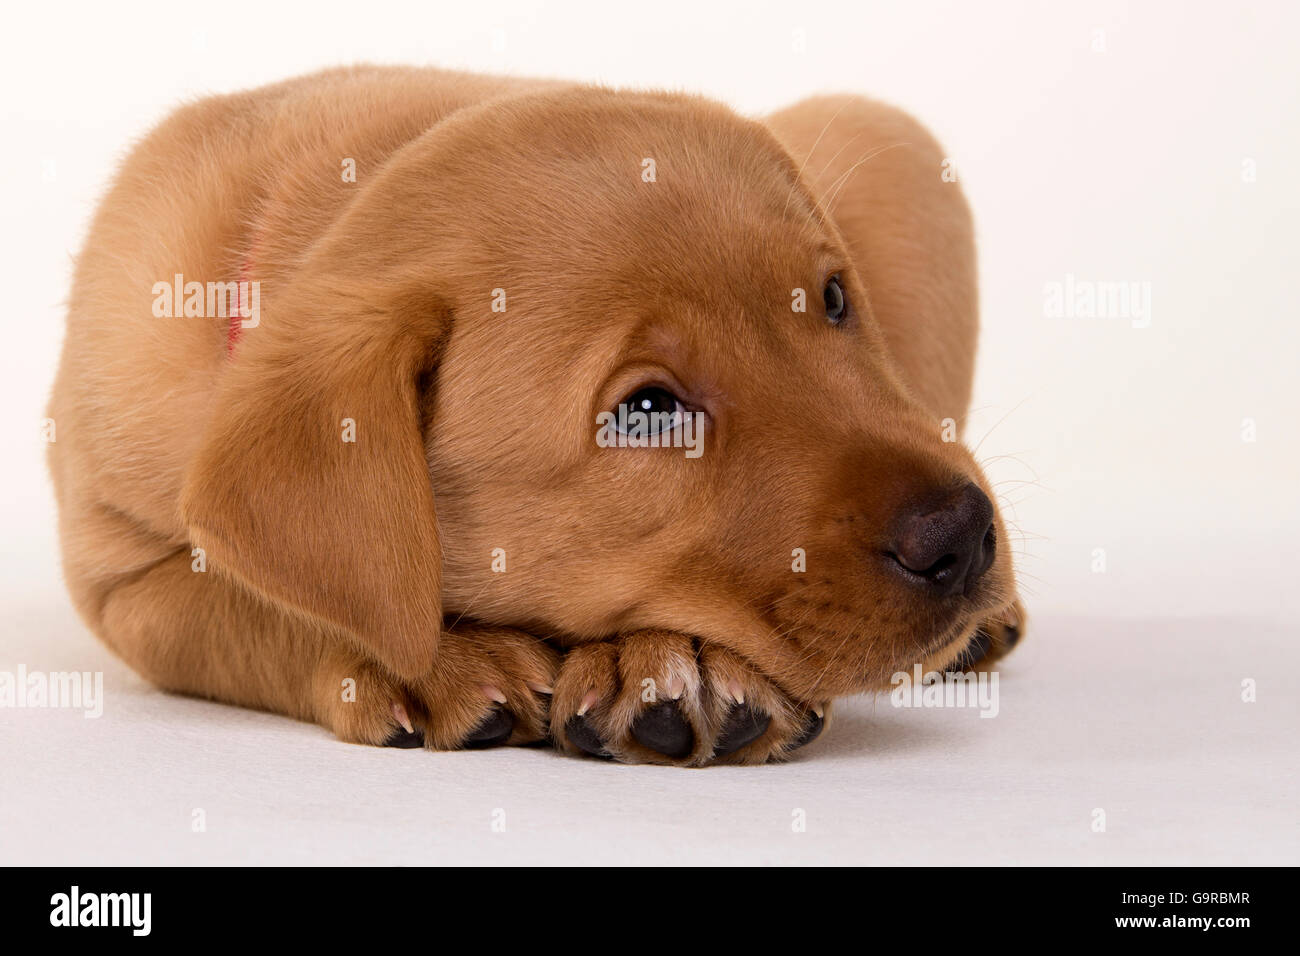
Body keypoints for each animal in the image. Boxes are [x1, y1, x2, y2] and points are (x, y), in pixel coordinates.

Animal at [45, 65, 1024, 770]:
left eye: (832, 298)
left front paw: (676, 661)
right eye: (648, 410)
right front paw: (435, 661)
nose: (963, 532)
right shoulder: (117, 580)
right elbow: (251, 606)